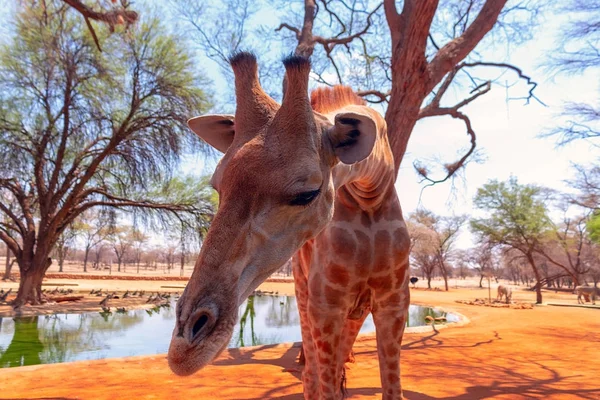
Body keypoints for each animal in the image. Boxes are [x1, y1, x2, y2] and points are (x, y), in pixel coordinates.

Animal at [169, 53, 412, 400]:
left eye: (306, 193)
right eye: (217, 186)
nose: (183, 351)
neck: (370, 191)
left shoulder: (394, 299)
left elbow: (392, 388)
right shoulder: (325, 302)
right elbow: (321, 383)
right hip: (303, 289)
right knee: (311, 372)